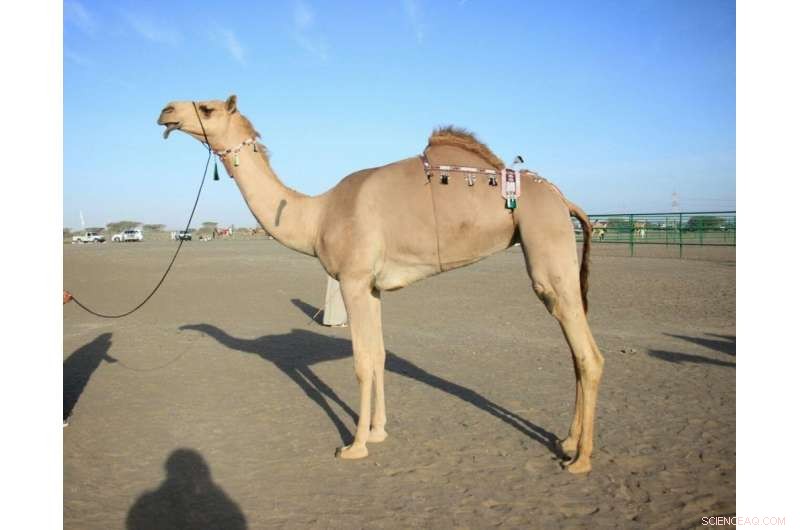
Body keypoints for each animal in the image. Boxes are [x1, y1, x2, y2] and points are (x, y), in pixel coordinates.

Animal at [157, 95, 605, 473]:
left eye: (207, 107)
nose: (166, 111)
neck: (316, 215)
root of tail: (565, 200)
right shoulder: (370, 287)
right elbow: (378, 356)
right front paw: (377, 431)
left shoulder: (353, 280)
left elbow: (360, 363)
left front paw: (354, 446)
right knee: (575, 353)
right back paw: (567, 441)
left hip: (546, 246)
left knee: (588, 355)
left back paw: (580, 460)